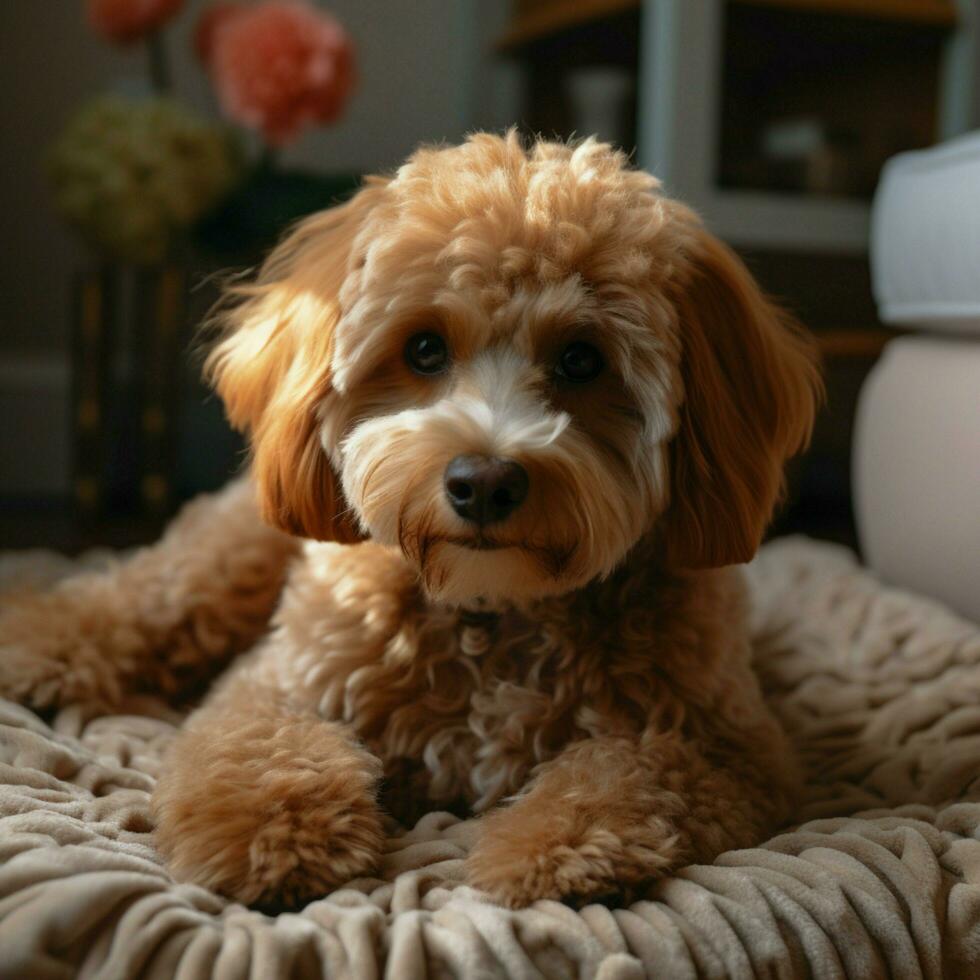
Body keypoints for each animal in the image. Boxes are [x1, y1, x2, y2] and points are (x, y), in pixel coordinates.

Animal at [1, 132, 820, 912]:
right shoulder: (279, 683)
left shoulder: (729, 746)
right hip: (235, 555)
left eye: (582, 360)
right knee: (144, 596)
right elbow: (265, 744)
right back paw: (39, 646)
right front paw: (275, 836)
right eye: (424, 348)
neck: (491, 611)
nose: (483, 482)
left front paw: (561, 848)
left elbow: (628, 768)